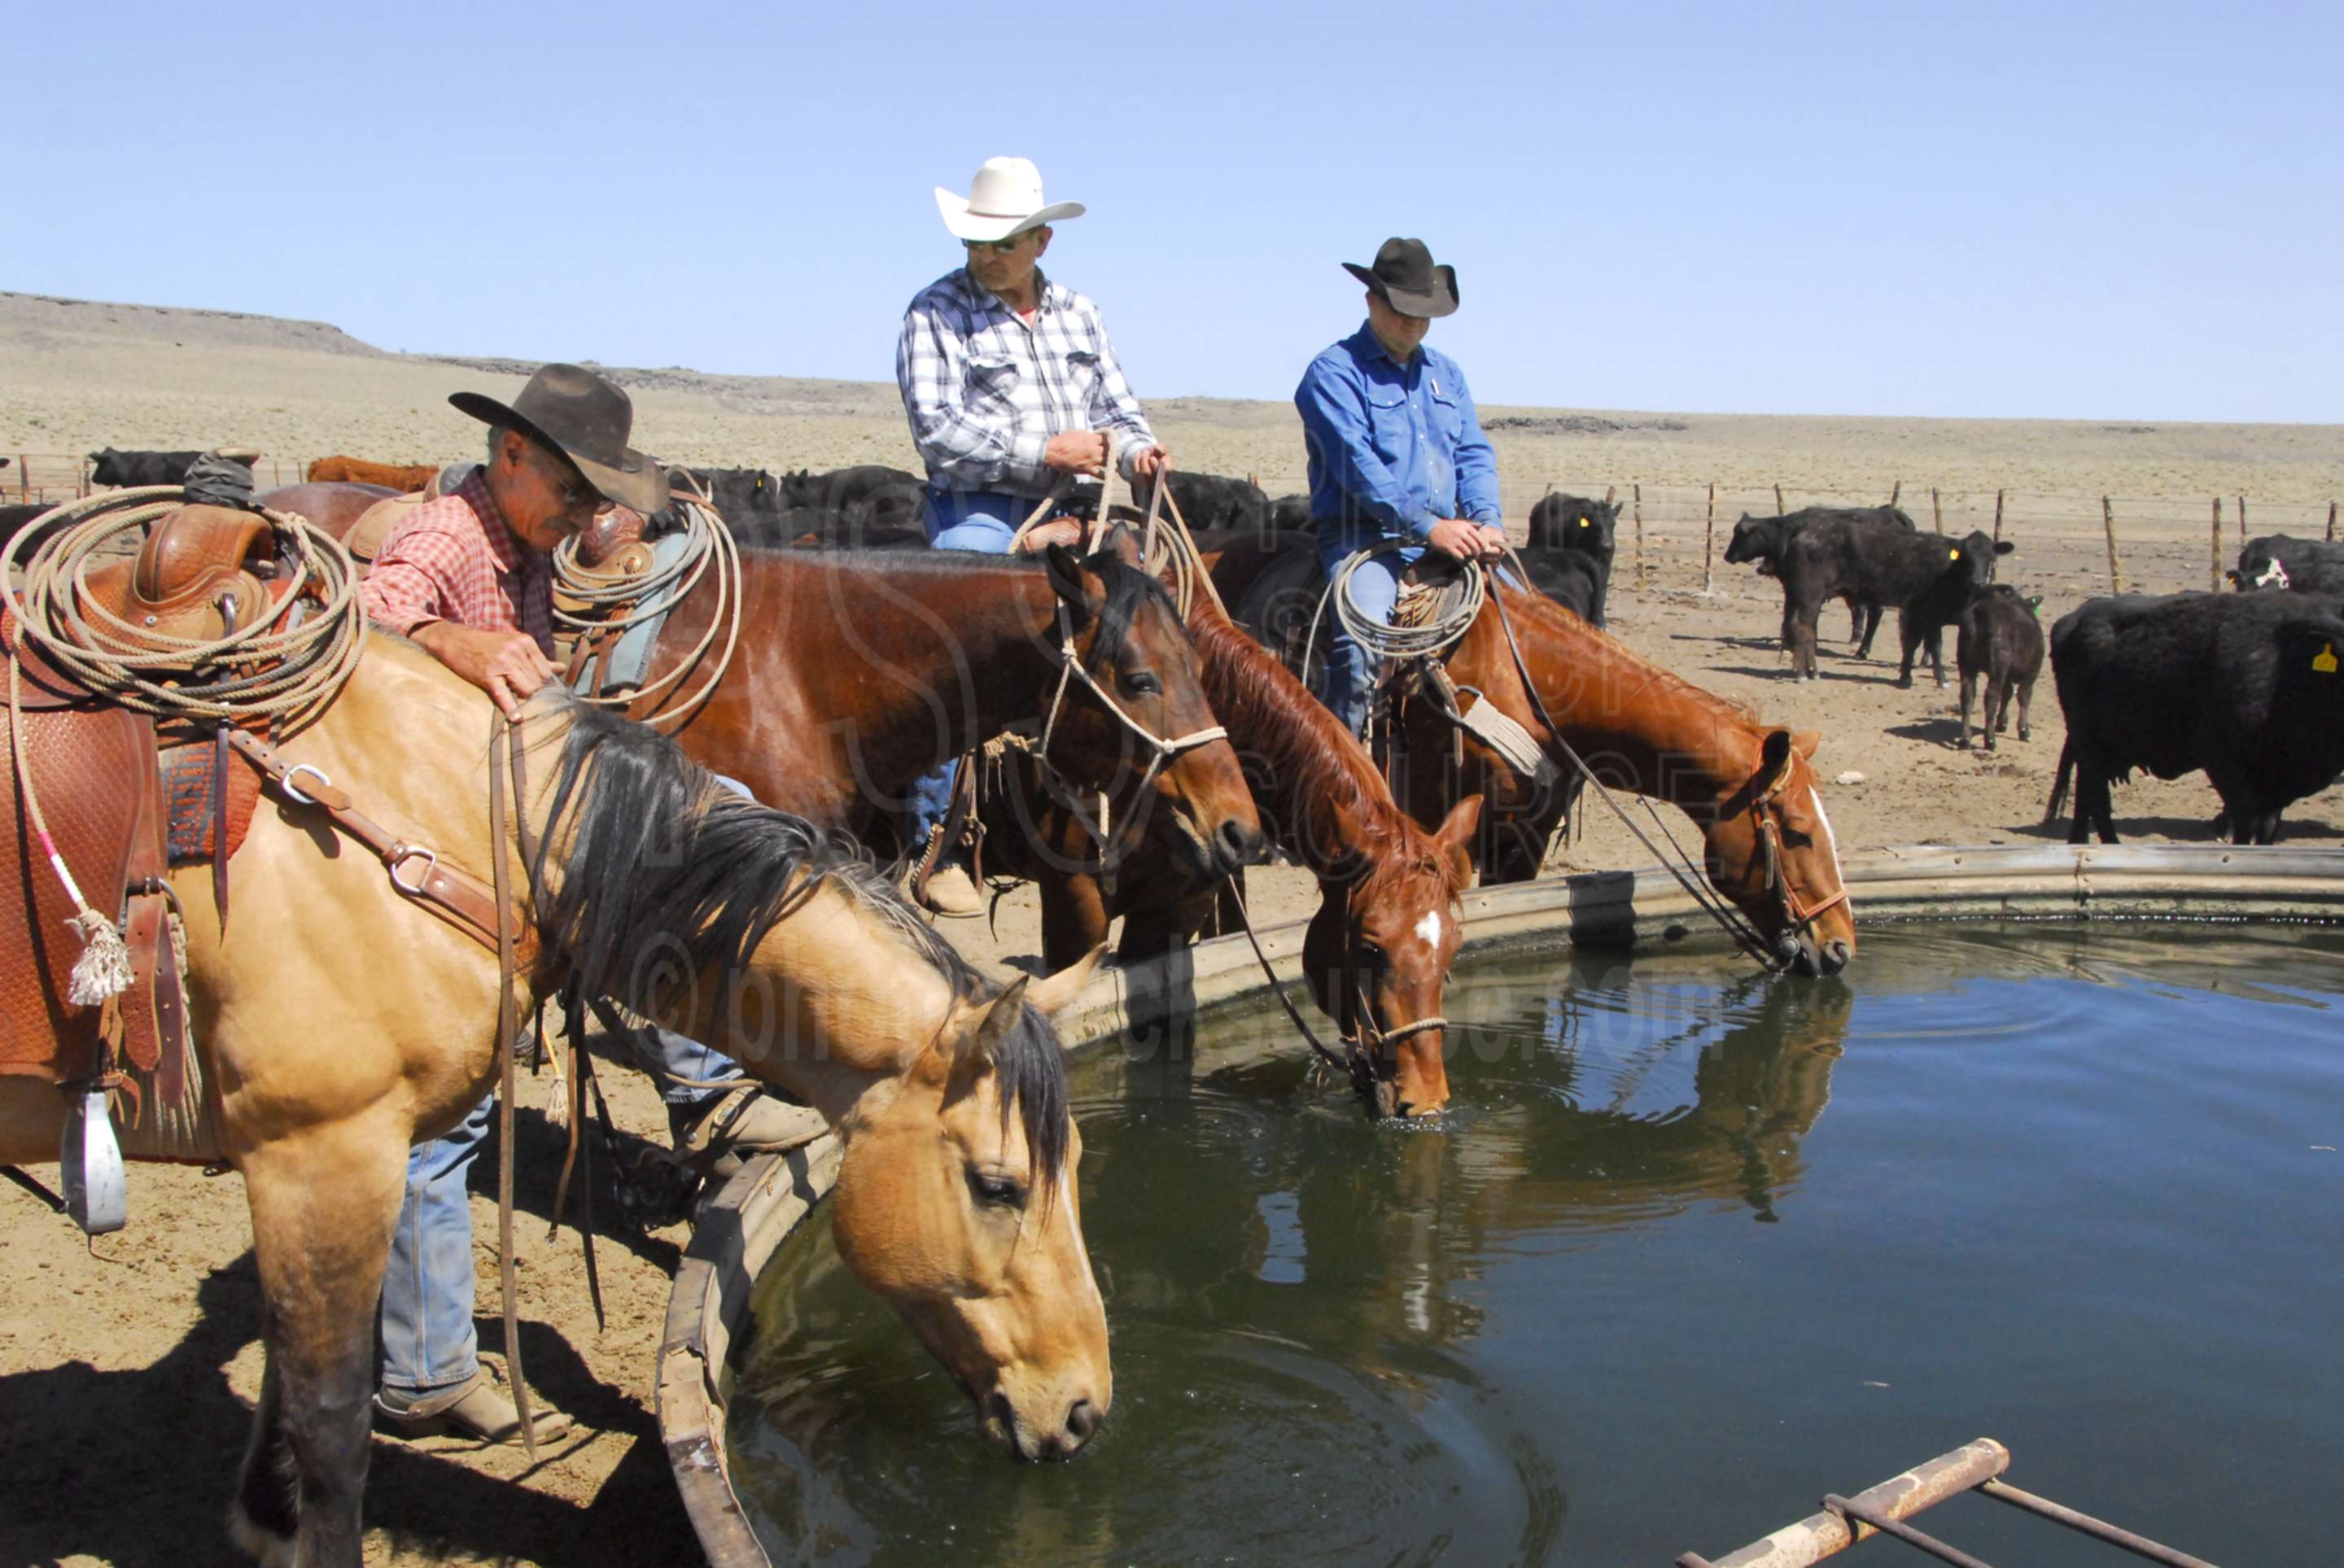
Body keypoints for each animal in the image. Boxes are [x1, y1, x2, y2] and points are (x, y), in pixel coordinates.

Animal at [1, 634, 1110, 1563]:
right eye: (1000, 1186)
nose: (1086, 1409)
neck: (458, 830)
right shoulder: (321, 1152)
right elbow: (331, 1425)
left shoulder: (321, 1168)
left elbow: (290, 1369)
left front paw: (263, 1517)